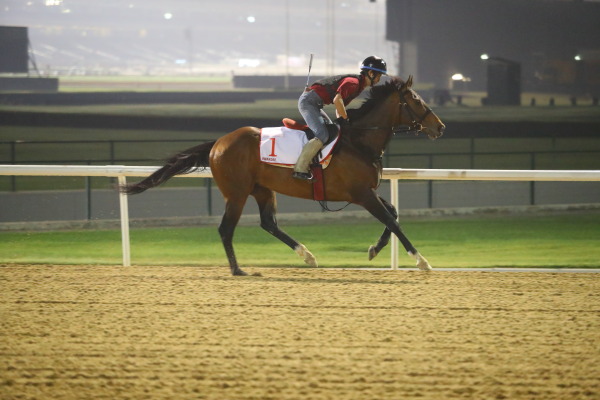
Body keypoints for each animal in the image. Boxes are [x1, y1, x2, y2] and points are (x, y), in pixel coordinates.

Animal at [122, 75, 442, 276]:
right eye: (416, 100)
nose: (440, 127)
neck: (359, 142)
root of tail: (218, 143)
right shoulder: (361, 194)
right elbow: (392, 219)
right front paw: (422, 261)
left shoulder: (366, 193)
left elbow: (393, 213)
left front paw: (375, 249)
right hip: (236, 193)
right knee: (226, 229)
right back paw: (238, 270)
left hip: (263, 189)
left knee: (268, 223)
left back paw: (307, 255)